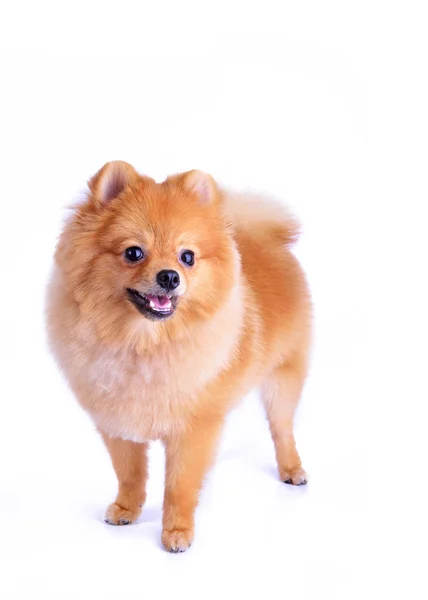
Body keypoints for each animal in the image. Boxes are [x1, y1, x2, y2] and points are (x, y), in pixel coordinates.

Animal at [46, 161, 310, 552]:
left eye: (188, 257)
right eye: (133, 253)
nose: (170, 276)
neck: (143, 344)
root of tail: (270, 240)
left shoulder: (193, 429)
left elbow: (179, 485)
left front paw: (177, 531)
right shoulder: (117, 421)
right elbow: (130, 473)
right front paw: (127, 509)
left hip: (283, 378)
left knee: (282, 429)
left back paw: (292, 470)